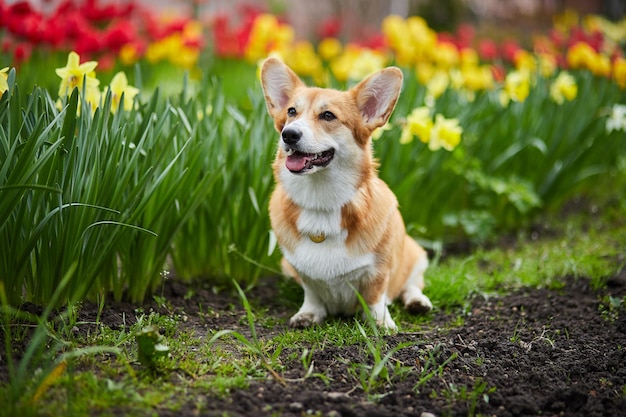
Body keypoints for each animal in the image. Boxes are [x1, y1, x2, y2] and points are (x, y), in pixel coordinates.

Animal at [258, 57, 428, 328]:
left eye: (328, 115)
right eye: (292, 112)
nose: (289, 134)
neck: (321, 201)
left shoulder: (379, 269)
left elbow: (376, 296)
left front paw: (381, 324)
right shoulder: (300, 269)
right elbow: (311, 292)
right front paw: (308, 314)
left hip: (415, 254)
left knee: (411, 284)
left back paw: (417, 302)